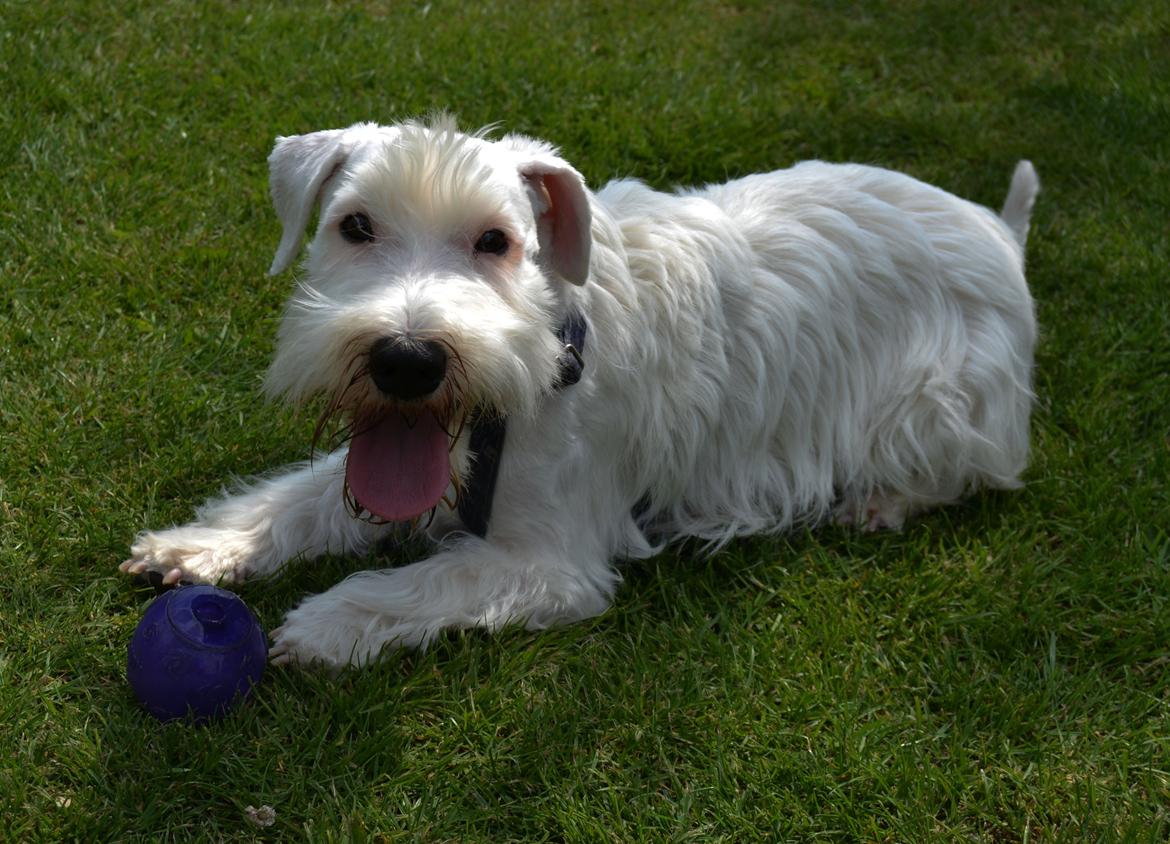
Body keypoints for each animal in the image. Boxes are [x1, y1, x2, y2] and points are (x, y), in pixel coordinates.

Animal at [121, 118, 1043, 669]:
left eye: (496, 240)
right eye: (354, 226)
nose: (407, 361)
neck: (542, 358)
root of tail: (1000, 229)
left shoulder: (548, 561)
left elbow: (423, 581)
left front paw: (322, 624)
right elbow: (299, 499)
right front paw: (198, 547)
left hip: (941, 405)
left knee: (971, 470)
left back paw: (879, 502)